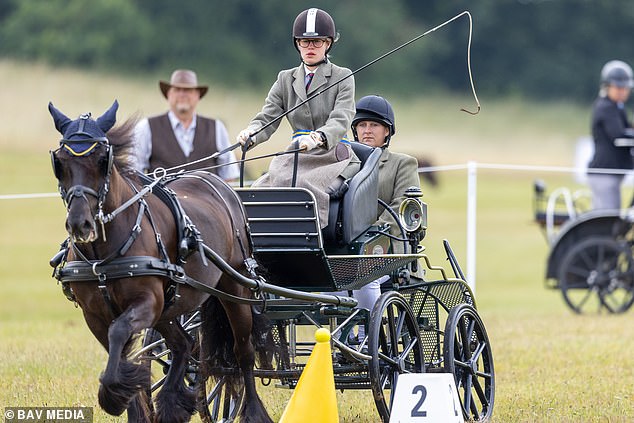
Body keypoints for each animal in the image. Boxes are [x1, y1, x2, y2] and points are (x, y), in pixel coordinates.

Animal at [47, 101, 270, 422]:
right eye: (61, 162)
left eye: (102, 160)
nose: (80, 223)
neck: (104, 256)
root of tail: (220, 184)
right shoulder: (95, 315)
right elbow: (120, 354)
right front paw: (129, 398)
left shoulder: (146, 301)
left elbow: (119, 335)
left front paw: (113, 395)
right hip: (170, 306)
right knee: (183, 344)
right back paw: (173, 403)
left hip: (235, 289)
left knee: (243, 351)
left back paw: (251, 411)